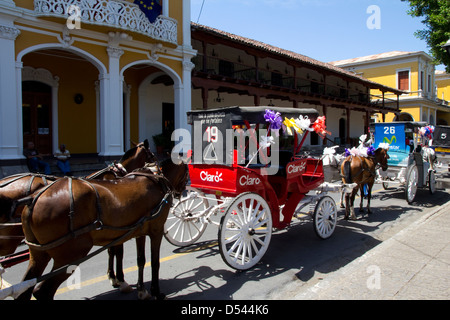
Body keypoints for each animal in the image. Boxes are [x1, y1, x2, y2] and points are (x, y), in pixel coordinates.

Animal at [16, 161, 188, 302]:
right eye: (187, 172)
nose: (180, 192)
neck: (156, 179)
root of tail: (34, 199)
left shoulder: (139, 231)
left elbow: (141, 260)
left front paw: (141, 290)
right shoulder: (156, 230)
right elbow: (154, 262)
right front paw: (156, 292)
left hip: (38, 254)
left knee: (25, 288)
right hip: (72, 254)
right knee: (43, 291)